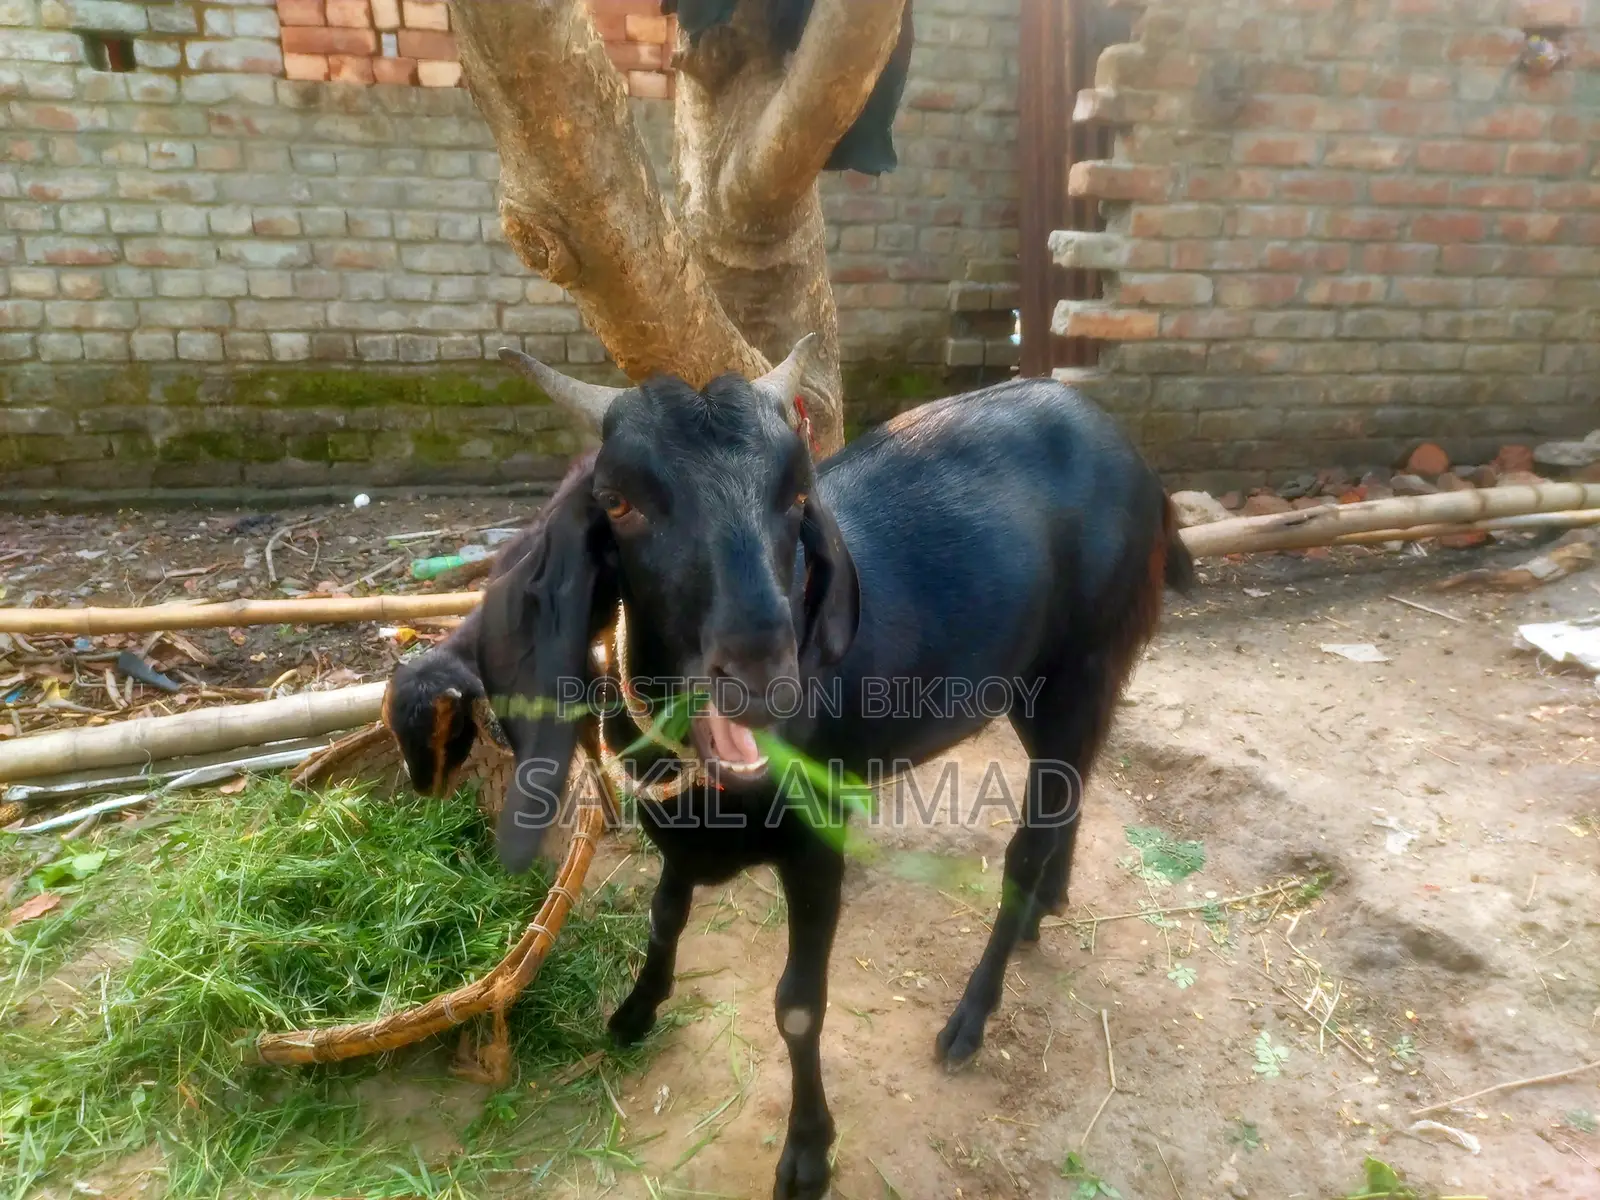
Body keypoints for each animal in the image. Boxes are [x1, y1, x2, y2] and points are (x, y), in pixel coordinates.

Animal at [388, 337, 1193, 1199]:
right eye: (618, 501)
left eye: (796, 496)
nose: (761, 669)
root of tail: (1117, 441)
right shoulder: (676, 832)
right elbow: (665, 915)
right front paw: (636, 1011)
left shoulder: (817, 846)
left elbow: (798, 1005)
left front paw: (807, 1153)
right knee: (1071, 794)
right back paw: (1050, 902)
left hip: (1084, 665)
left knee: (1030, 837)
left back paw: (973, 1014)